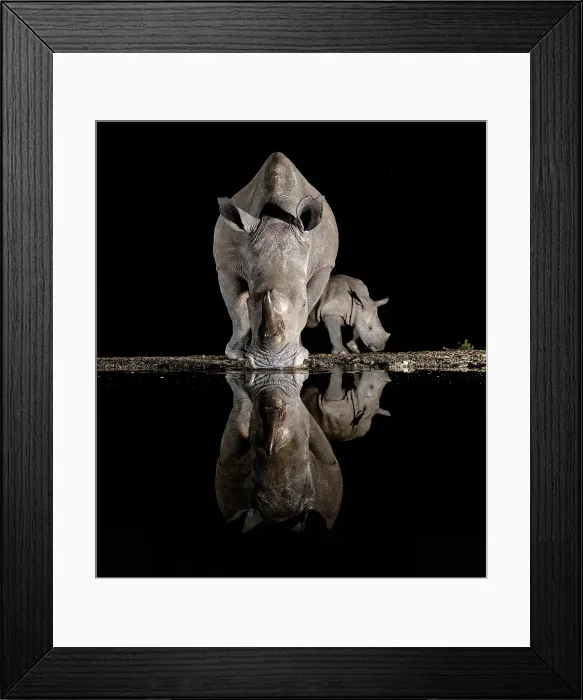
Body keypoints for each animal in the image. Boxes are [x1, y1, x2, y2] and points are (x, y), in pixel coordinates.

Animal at [214, 152, 338, 368]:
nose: (273, 363)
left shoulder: (323, 266)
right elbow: (236, 309)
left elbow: (308, 306)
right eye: (250, 304)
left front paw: (303, 353)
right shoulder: (227, 266)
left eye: (303, 304)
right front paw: (236, 355)